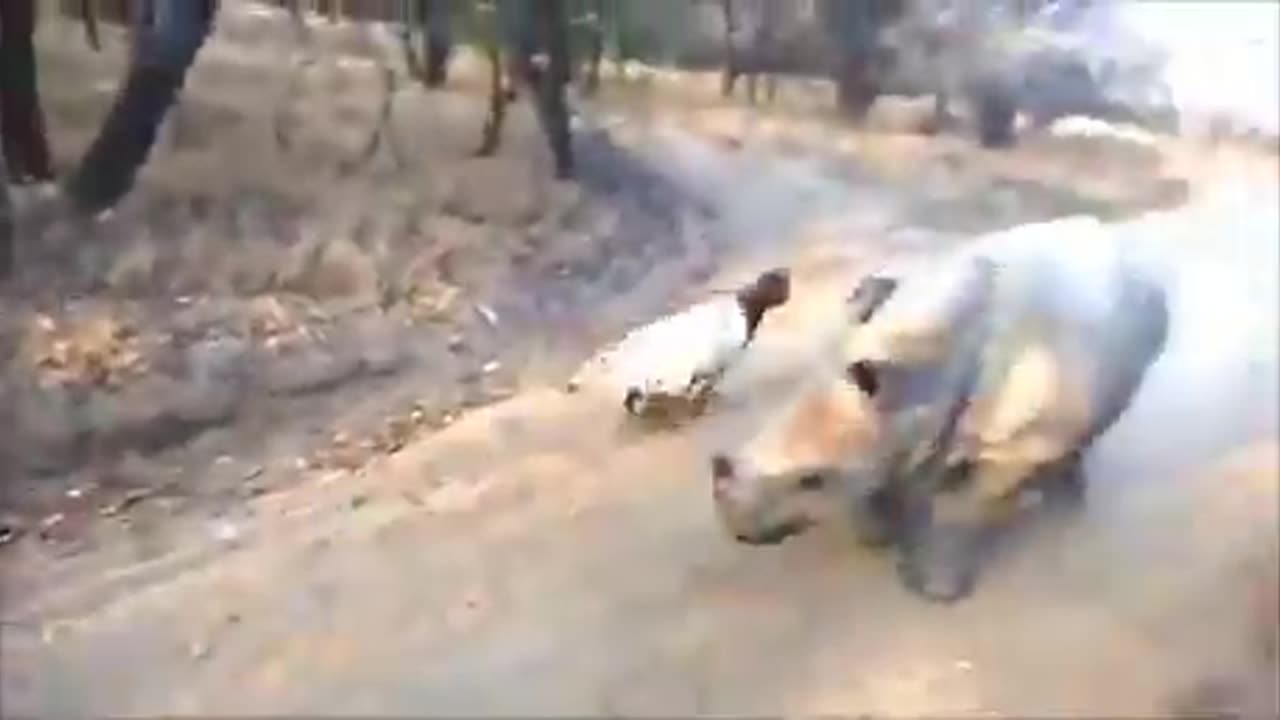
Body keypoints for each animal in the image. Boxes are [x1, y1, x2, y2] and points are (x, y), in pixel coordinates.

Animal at [711, 215, 1172, 602]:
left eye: (812, 480)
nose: (735, 528)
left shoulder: (1009, 448)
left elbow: (965, 510)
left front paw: (936, 588)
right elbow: (891, 475)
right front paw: (881, 536)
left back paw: (1064, 505)